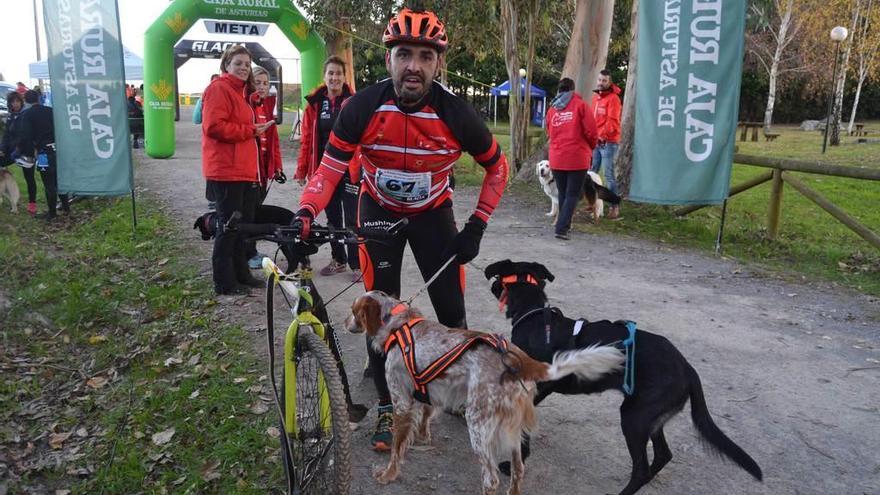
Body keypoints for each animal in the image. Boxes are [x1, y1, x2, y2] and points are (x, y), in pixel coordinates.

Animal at [482, 260, 764, 495]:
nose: (493, 284)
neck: (534, 318)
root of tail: (688, 369)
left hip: (634, 417)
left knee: (641, 468)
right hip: (650, 418)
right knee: (663, 455)